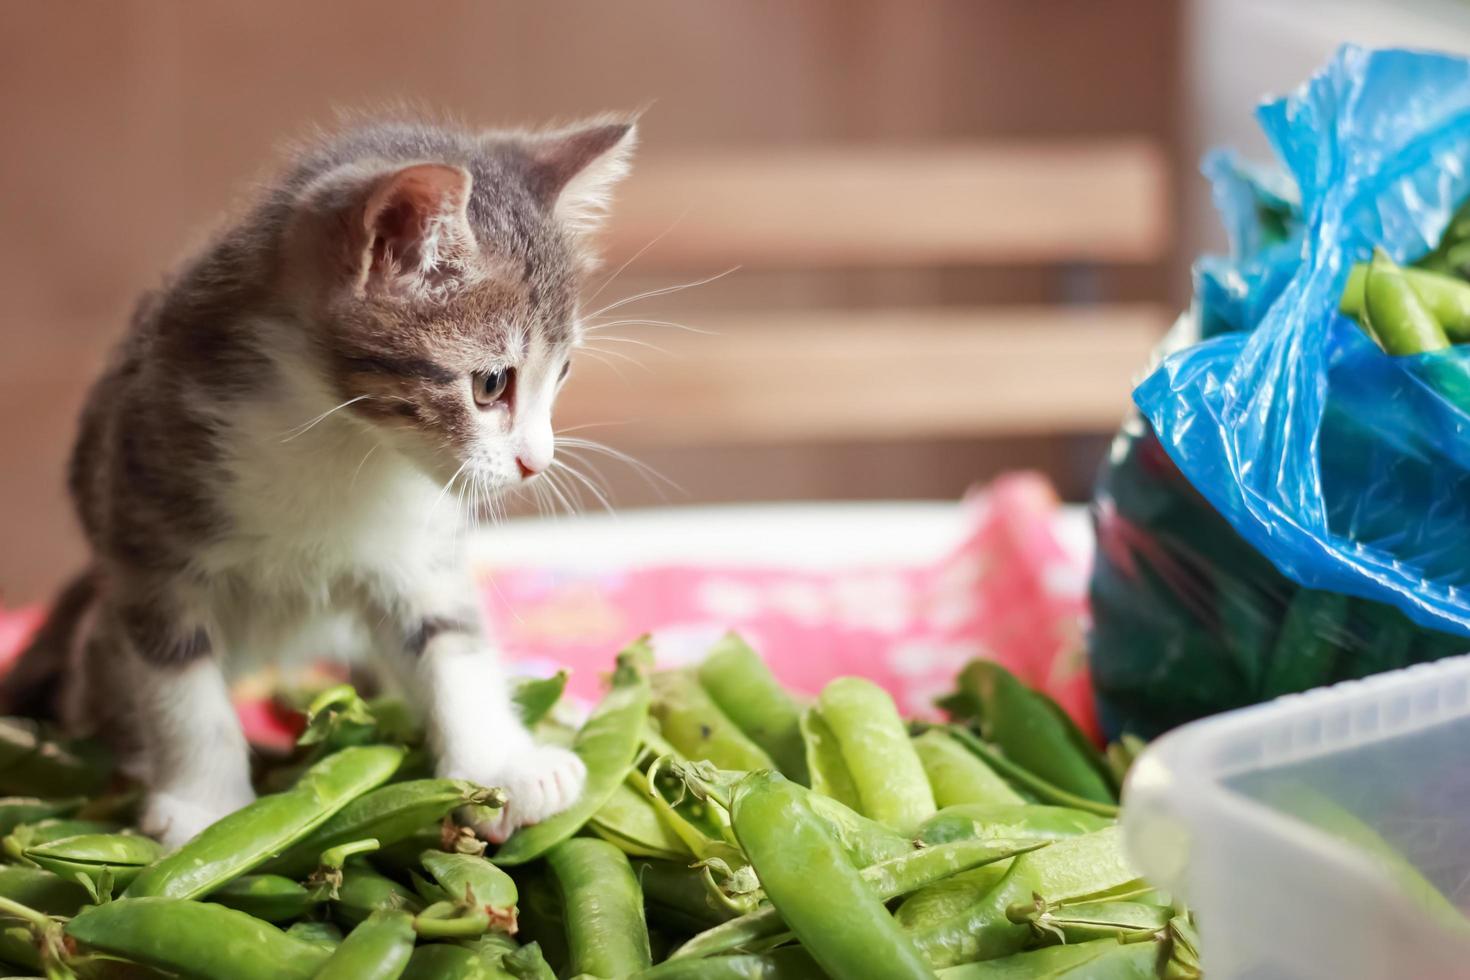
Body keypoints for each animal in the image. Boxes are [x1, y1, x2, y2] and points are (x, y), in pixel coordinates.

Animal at [5, 115, 637, 852]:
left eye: (561, 374)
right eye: (490, 384)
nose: (538, 460)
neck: (341, 439)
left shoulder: (415, 547)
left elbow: (448, 635)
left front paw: (500, 763)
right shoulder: (146, 527)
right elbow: (179, 682)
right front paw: (206, 809)